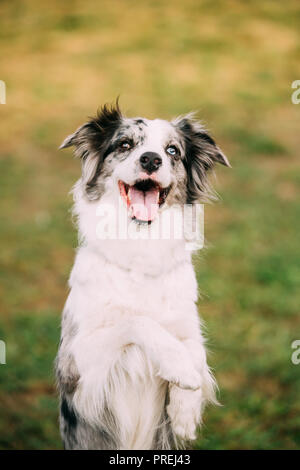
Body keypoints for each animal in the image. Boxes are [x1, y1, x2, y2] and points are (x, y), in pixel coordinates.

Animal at [55, 102, 229, 448]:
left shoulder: (187, 325)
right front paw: (178, 365)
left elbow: (197, 351)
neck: (141, 246)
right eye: (125, 144)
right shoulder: (75, 363)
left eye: (172, 150)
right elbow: (137, 321)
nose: (151, 159)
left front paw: (185, 412)